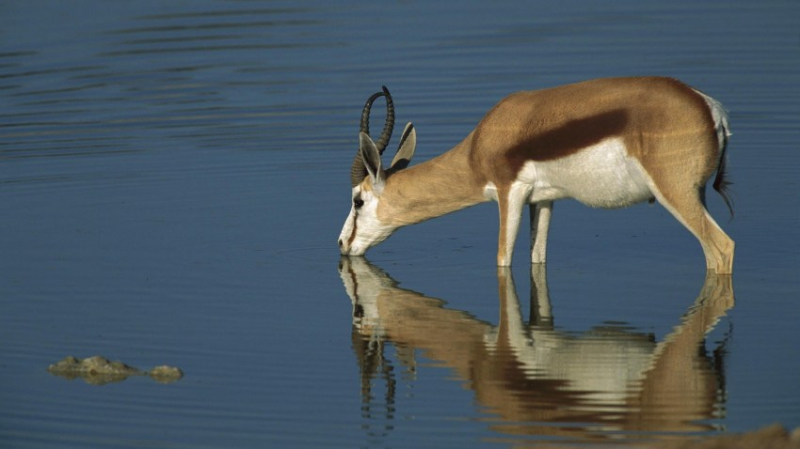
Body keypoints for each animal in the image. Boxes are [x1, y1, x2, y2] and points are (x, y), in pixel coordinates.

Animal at [336, 77, 732, 272]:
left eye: (358, 200)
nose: (341, 245)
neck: (480, 146)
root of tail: (711, 108)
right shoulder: (543, 201)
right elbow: (537, 258)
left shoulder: (509, 193)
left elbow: (502, 260)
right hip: (695, 195)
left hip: (676, 193)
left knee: (721, 249)